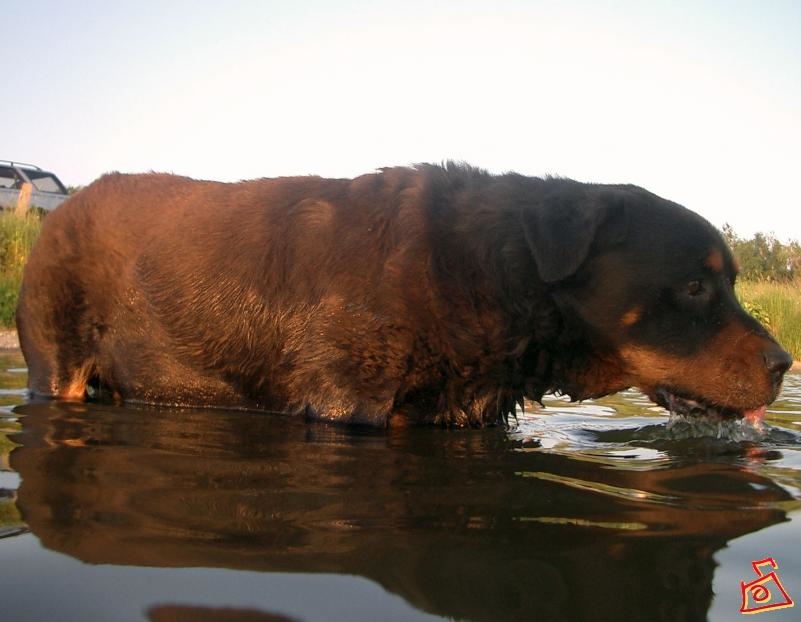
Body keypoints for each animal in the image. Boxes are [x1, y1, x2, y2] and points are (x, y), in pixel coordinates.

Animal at [15, 165, 792, 428]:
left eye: (728, 281)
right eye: (693, 285)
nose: (785, 362)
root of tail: (60, 208)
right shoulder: (345, 398)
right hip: (57, 354)